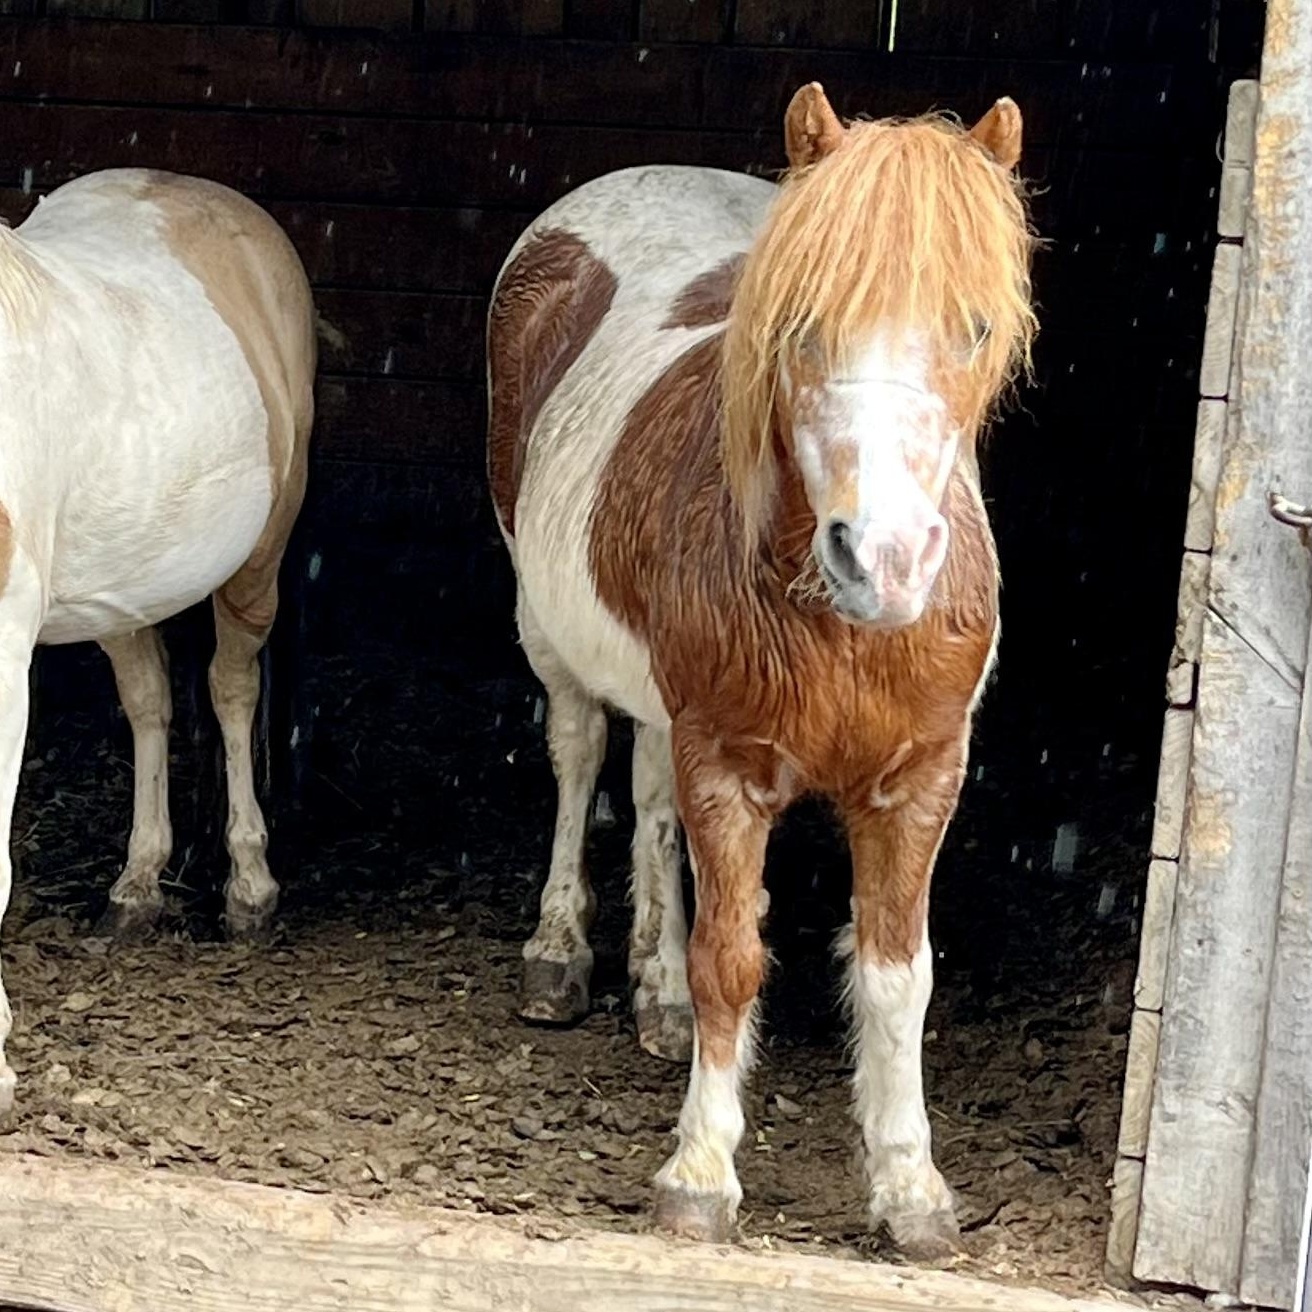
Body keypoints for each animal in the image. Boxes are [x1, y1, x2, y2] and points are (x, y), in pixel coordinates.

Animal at [0, 168, 316, 1117]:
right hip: (128, 589)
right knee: (148, 702)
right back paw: (136, 889)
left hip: (258, 562)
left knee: (229, 689)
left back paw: (249, 891)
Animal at [487, 83, 1035, 1255]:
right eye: (800, 327)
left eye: (975, 327)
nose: (884, 558)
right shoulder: (728, 767)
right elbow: (732, 957)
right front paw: (698, 1177)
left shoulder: (921, 780)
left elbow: (897, 977)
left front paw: (912, 1192)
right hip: (549, 631)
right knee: (578, 755)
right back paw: (559, 956)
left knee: (648, 796)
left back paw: (653, 996)